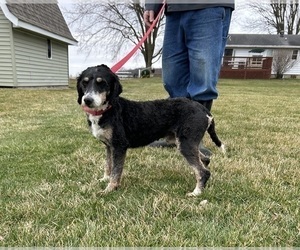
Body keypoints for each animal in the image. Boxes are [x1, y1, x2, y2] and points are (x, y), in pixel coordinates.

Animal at [77, 65, 225, 197]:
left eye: (102, 83)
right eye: (84, 83)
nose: (87, 100)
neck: (108, 109)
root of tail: (203, 109)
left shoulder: (119, 146)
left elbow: (116, 171)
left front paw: (109, 189)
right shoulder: (109, 146)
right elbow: (108, 165)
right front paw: (104, 179)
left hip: (185, 144)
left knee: (203, 171)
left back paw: (196, 192)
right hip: (183, 142)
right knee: (205, 161)